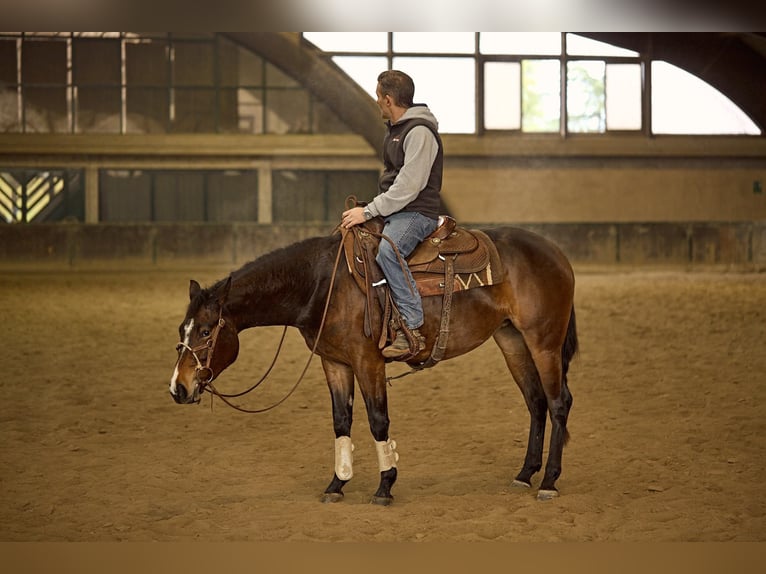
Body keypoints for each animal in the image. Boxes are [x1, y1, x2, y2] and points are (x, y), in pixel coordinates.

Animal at [168, 225, 576, 504]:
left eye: (205, 331)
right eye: (181, 329)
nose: (178, 387)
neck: (322, 284)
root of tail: (556, 251)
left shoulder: (368, 361)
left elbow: (378, 420)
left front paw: (385, 485)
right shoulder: (334, 363)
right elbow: (341, 421)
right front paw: (337, 483)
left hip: (544, 342)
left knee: (558, 403)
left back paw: (550, 481)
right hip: (512, 340)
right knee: (536, 403)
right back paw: (525, 473)